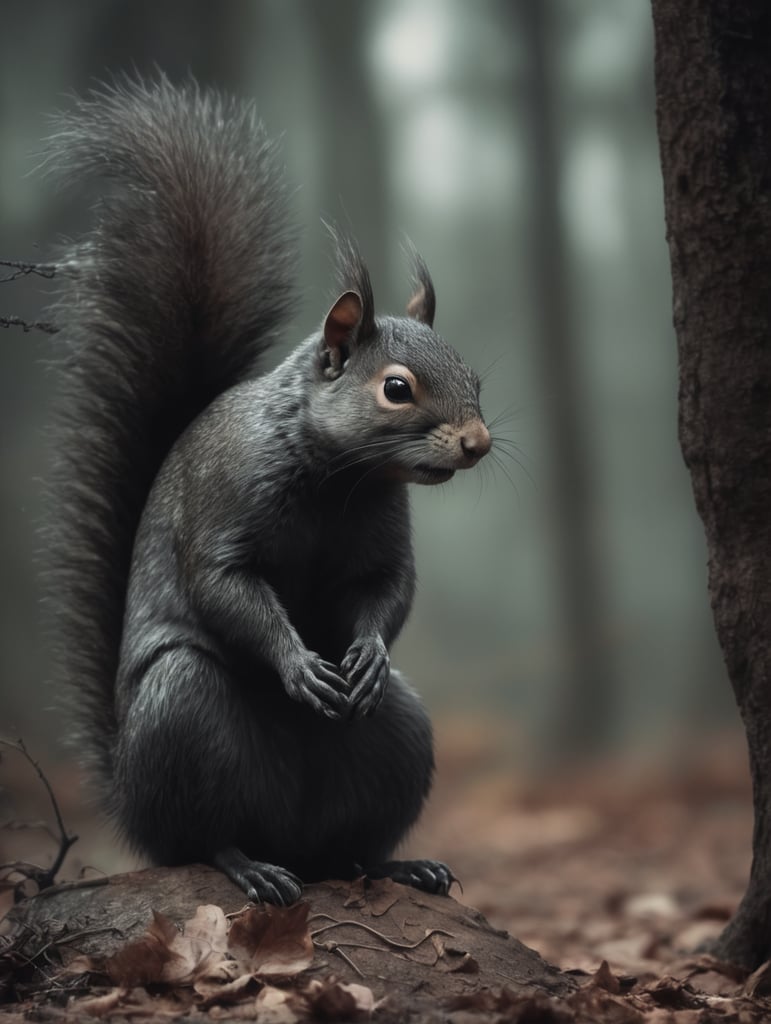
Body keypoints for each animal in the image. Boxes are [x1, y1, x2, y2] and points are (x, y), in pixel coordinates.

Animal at [44, 76, 491, 905]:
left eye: (474, 376)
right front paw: (296, 664)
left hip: (398, 734)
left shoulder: (381, 537)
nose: (477, 443)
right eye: (396, 388)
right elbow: (227, 588)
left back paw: (397, 864)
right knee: (198, 838)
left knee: (351, 848)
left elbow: (388, 588)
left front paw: (363, 654)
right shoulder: (225, 505)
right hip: (184, 713)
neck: (338, 480)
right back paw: (248, 864)